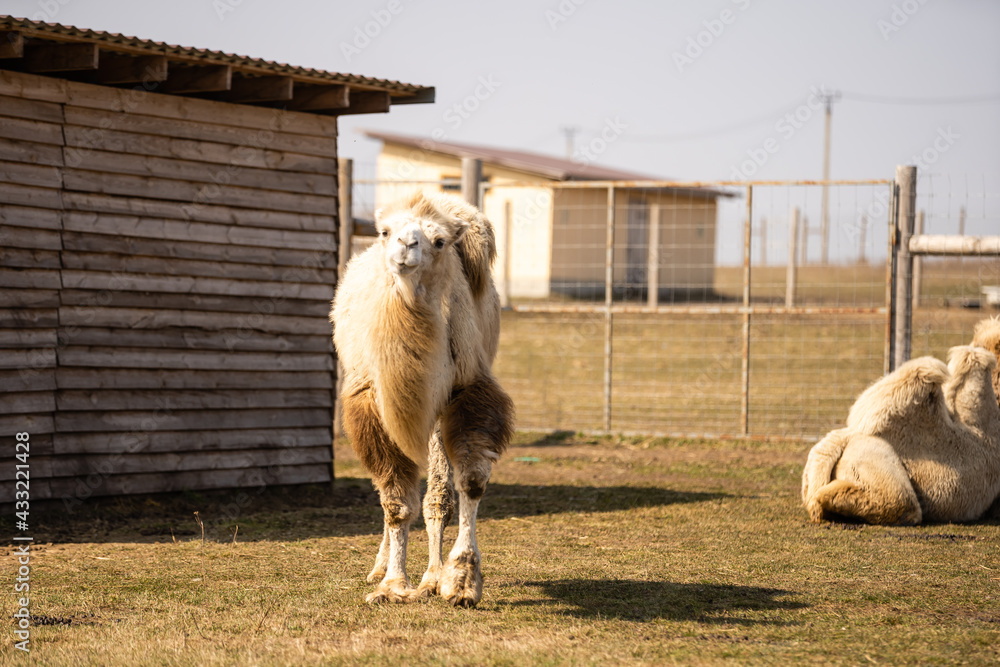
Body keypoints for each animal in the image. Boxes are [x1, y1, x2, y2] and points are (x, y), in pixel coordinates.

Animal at [330, 191, 514, 607]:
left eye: (440, 241)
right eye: (385, 231)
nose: (405, 245)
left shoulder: (465, 390)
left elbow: (468, 483)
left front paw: (459, 579)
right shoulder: (373, 402)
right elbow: (397, 502)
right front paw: (393, 585)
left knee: (436, 492)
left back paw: (431, 576)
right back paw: (381, 568)